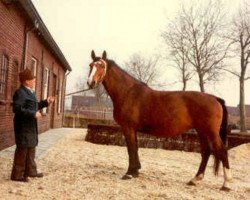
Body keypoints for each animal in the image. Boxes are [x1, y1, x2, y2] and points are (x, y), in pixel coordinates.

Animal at [87, 50, 232, 191]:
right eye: (91, 65)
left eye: (101, 66)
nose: (90, 83)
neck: (128, 92)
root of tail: (214, 98)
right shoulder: (133, 129)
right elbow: (135, 148)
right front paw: (136, 171)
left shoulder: (128, 128)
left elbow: (131, 149)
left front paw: (129, 173)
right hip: (201, 131)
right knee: (206, 152)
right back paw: (195, 179)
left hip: (211, 132)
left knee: (222, 151)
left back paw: (226, 184)